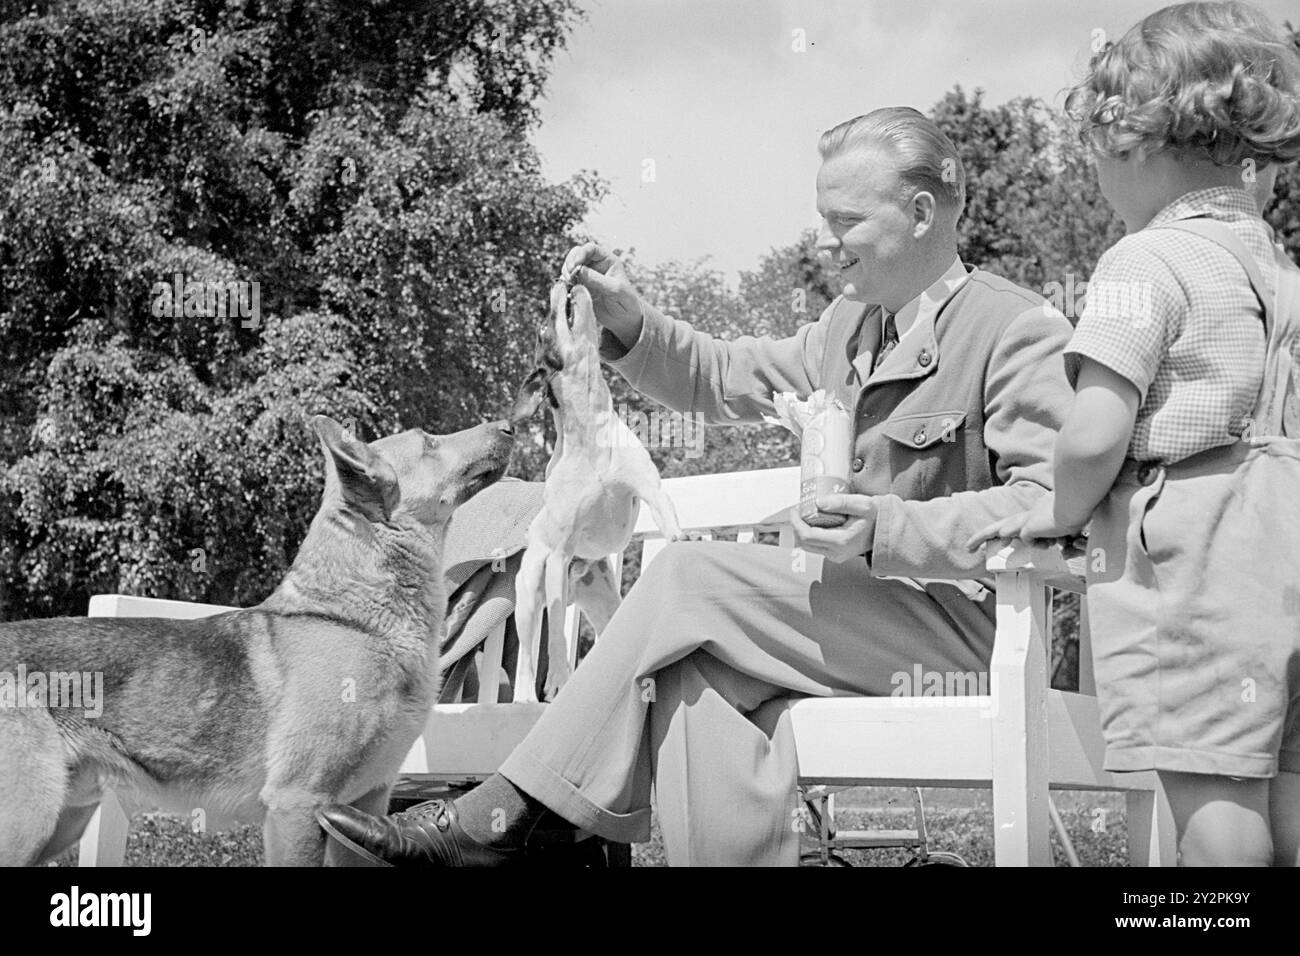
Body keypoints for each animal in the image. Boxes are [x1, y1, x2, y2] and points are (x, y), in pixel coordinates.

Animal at [0, 413, 514, 868]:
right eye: (429, 441)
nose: (511, 424)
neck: (355, 621)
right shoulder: (297, 806)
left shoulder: (363, 813)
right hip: (30, 823)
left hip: (61, 823)